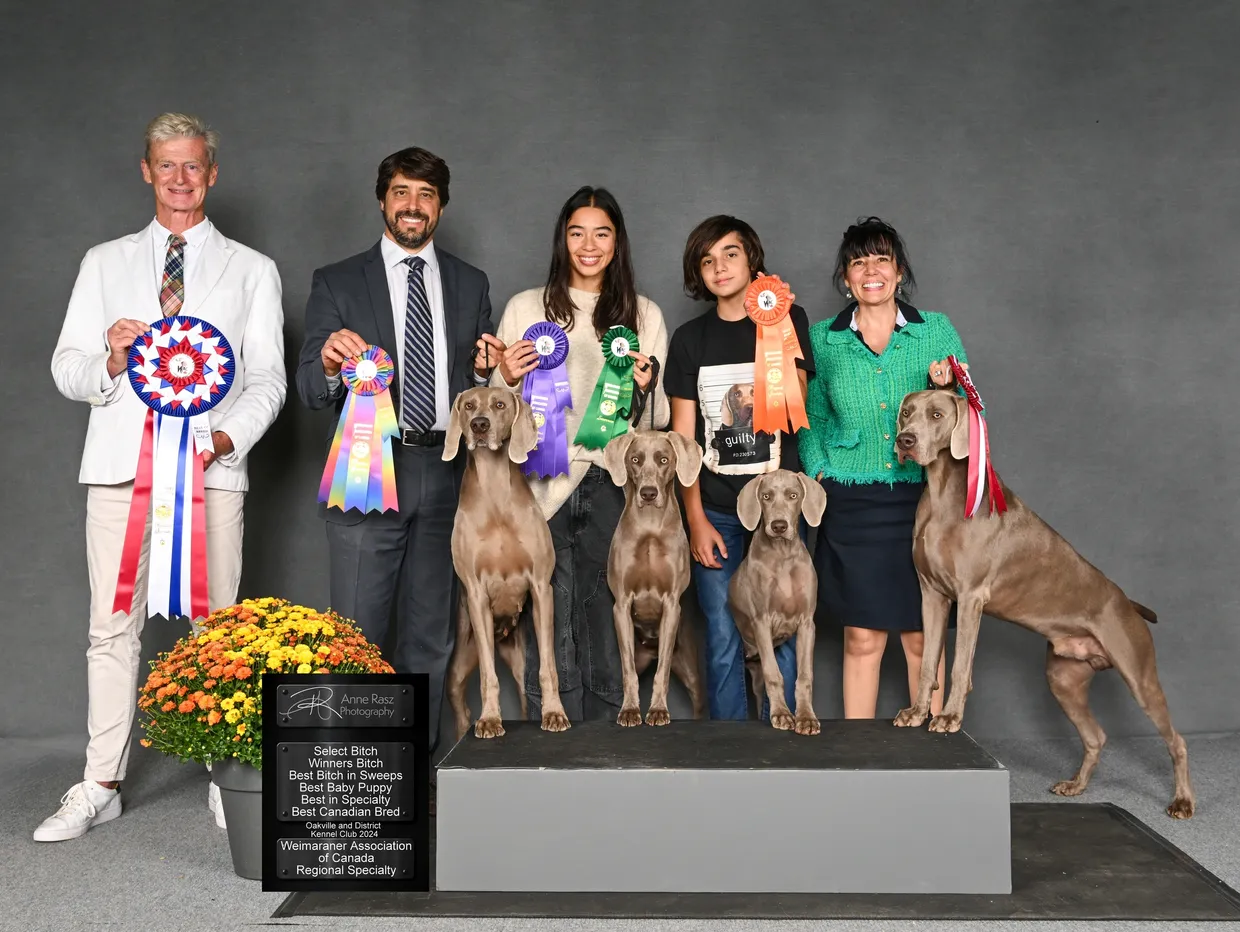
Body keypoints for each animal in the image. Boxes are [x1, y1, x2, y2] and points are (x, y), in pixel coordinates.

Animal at [442, 386, 571, 739]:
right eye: (468, 405)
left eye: (499, 404)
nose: (479, 425)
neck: (495, 494)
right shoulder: (475, 594)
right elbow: (489, 675)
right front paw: (489, 719)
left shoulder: (541, 588)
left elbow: (548, 667)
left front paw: (554, 714)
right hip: (463, 655)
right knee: (460, 704)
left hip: (518, 654)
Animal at [602, 428, 707, 726]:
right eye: (635, 459)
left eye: (663, 460)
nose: (648, 493)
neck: (649, 529)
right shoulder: (621, 605)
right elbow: (628, 672)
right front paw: (629, 711)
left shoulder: (671, 605)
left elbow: (662, 671)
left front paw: (658, 710)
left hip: (688, 662)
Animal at [729, 469, 827, 734]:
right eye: (766, 496)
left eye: (793, 495)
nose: (779, 526)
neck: (782, 555)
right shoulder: (761, 621)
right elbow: (774, 674)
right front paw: (782, 715)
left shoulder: (807, 624)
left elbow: (804, 675)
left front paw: (806, 718)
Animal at [891, 388, 1195, 818]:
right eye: (906, 412)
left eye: (936, 415)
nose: (905, 441)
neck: (942, 493)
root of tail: (1128, 603)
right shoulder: (932, 595)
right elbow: (929, 663)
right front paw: (917, 713)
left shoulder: (969, 597)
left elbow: (959, 666)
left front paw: (948, 717)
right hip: (1064, 677)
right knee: (1097, 736)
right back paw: (1075, 785)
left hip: (1138, 673)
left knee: (1176, 740)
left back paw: (1182, 802)